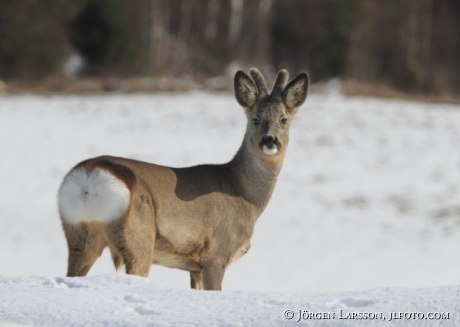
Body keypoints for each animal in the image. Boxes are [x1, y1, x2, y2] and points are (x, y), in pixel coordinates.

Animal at [57, 68, 310, 290]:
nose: (270, 140)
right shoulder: (216, 253)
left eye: (284, 120)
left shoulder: (194, 266)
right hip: (138, 236)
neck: (244, 195)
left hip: (78, 235)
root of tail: (90, 178)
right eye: (255, 119)